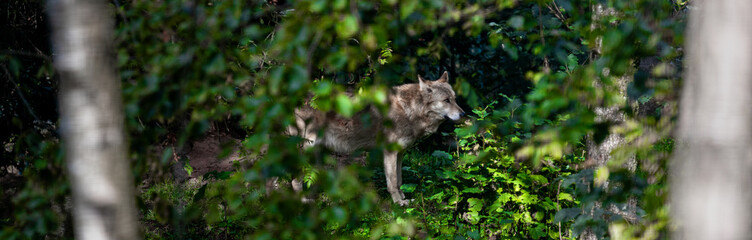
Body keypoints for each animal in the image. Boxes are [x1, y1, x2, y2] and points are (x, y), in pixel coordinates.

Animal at [288, 71, 464, 206]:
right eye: (446, 100)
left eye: (455, 99)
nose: (463, 114)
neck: (409, 110)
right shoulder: (390, 152)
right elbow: (392, 182)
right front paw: (398, 203)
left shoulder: (400, 153)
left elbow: (399, 181)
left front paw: (404, 198)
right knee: (294, 180)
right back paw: (303, 202)